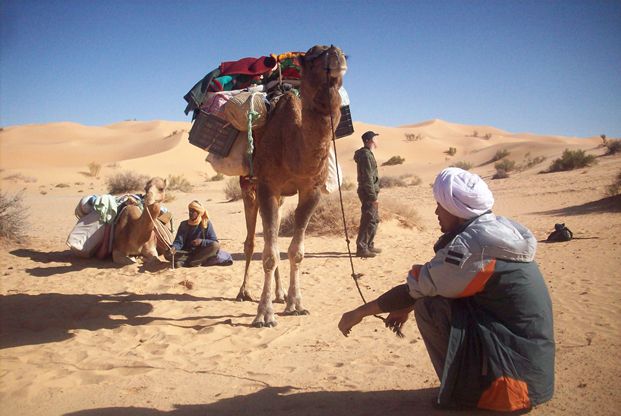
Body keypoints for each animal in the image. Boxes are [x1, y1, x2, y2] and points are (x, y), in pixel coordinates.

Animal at [235, 44, 346, 324]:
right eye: (312, 56)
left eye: (345, 54)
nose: (335, 54)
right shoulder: (267, 186)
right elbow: (269, 254)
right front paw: (264, 315)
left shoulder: (311, 191)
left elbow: (295, 251)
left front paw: (295, 304)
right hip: (248, 185)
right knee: (252, 242)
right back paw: (243, 292)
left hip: (282, 195)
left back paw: (280, 293)